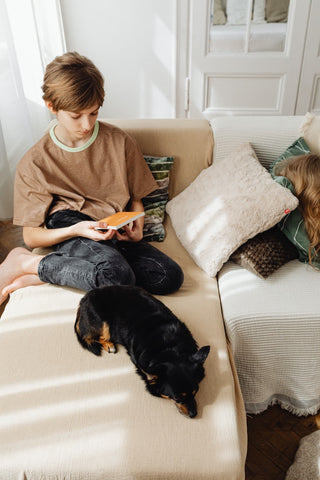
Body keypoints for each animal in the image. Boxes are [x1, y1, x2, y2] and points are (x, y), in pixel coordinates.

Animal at [75, 284, 210, 416]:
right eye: (177, 398)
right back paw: (109, 345)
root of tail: (83, 300)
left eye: (196, 391)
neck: (169, 348)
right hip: (103, 323)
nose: (194, 414)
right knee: (89, 337)